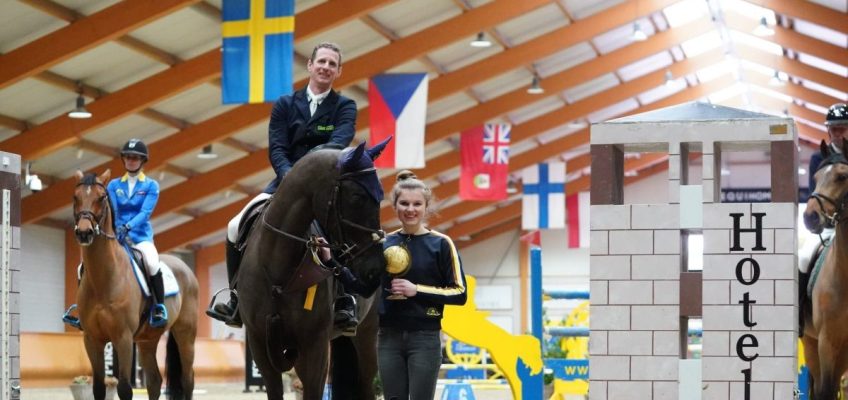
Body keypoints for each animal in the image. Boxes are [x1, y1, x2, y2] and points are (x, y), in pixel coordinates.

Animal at [72, 170, 199, 400]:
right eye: (75, 197)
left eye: (101, 198)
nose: (84, 233)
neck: (103, 279)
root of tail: (184, 266)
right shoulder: (92, 339)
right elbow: (98, 387)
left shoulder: (123, 338)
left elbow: (124, 388)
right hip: (147, 340)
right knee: (155, 381)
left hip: (186, 335)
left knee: (188, 380)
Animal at [235, 142, 388, 398]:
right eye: (356, 196)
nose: (375, 269)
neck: (278, 269)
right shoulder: (259, 344)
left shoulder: (315, 346)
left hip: (368, 337)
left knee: (367, 385)